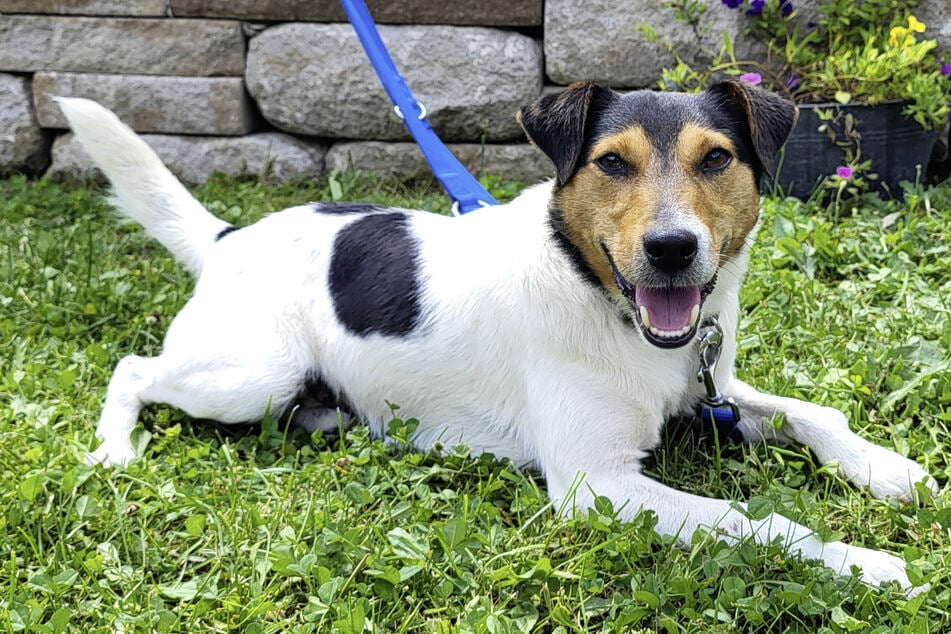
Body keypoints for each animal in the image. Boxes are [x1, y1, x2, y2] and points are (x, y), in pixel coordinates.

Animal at [57, 80, 936, 592]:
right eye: (611, 163)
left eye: (716, 157)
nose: (671, 249)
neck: (595, 294)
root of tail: (228, 237)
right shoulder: (595, 483)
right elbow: (756, 522)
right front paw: (858, 562)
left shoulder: (705, 386)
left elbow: (810, 413)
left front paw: (892, 470)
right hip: (250, 375)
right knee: (133, 367)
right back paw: (114, 449)